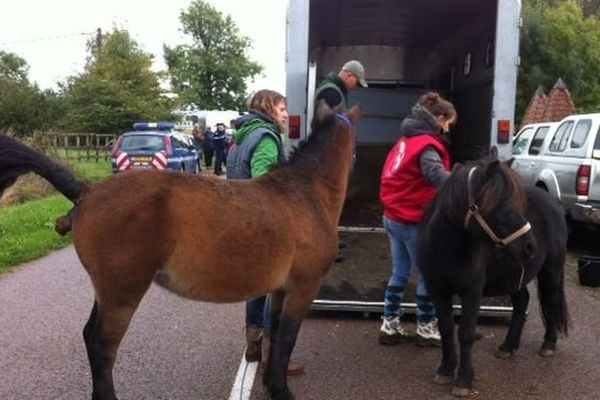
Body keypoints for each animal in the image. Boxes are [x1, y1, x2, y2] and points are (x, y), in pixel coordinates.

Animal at [0, 103, 360, 400]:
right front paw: (282, 391)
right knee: (102, 347)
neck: (304, 192)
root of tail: (86, 191)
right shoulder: (303, 286)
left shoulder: (282, 290)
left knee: (90, 337)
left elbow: (275, 336)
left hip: (107, 293)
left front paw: (273, 385)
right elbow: (286, 338)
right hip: (122, 293)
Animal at [420, 155, 568, 396]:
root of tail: (553, 203)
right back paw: (508, 346)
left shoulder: (472, 291)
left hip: (551, 270)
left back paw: (548, 345)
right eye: (501, 205)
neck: (446, 248)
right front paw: (445, 369)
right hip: (516, 276)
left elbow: (466, 333)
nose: (530, 246)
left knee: (552, 302)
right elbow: (446, 328)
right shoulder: (437, 290)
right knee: (522, 301)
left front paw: (463, 380)